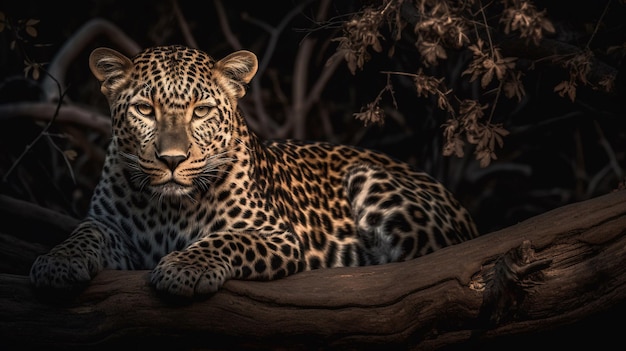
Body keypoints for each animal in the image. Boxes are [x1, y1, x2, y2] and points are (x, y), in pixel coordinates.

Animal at [29, 43, 478, 296]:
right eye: (143, 109)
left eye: (201, 111)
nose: (172, 160)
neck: (167, 207)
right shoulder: (111, 228)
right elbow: (83, 234)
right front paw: (57, 262)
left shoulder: (276, 235)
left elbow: (225, 240)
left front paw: (183, 268)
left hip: (369, 179)